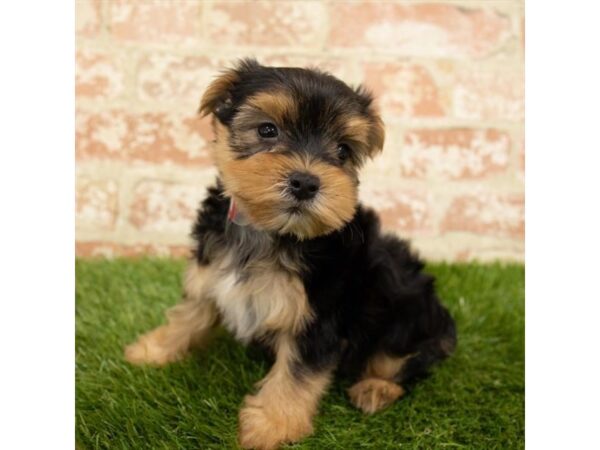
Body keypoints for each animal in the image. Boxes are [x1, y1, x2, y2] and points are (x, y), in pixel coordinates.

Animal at [125, 59, 454, 450]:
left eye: (342, 151)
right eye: (267, 130)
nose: (306, 183)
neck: (267, 231)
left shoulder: (317, 317)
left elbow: (297, 373)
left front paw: (272, 425)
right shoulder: (209, 273)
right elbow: (189, 315)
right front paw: (153, 351)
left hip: (407, 311)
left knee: (401, 360)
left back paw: (375, 388)